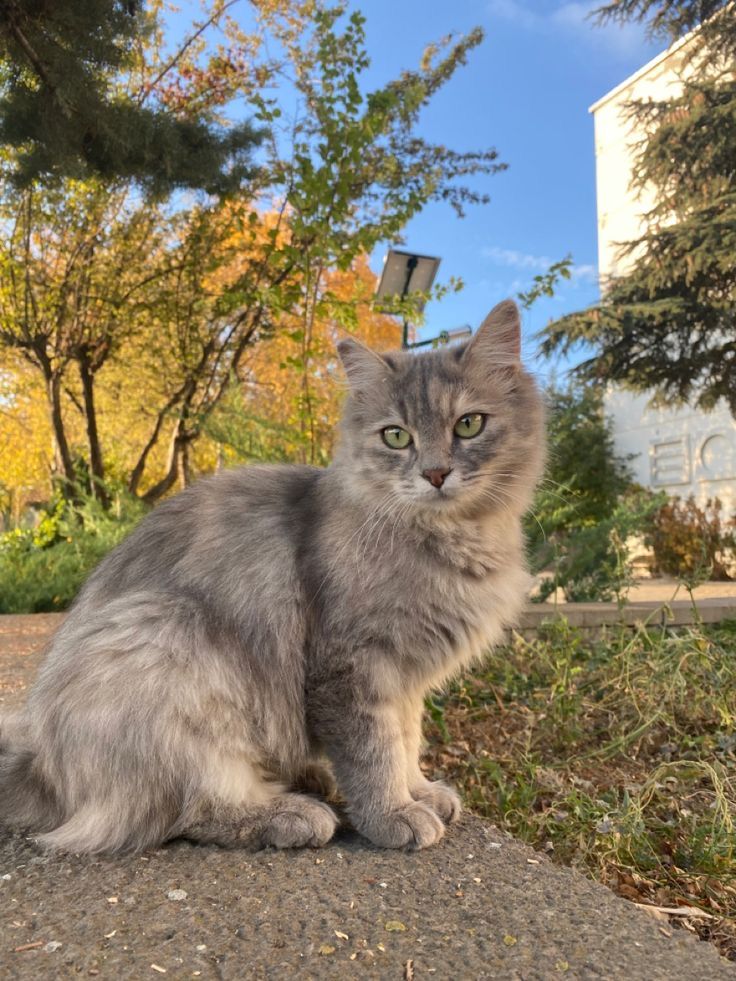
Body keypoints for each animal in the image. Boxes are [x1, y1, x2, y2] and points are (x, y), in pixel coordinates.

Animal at [1, 298, 548, 848]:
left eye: (469, 425)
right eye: (397, 437)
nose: (435, 473)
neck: (452, 540)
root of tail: (40, 767)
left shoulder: (407, 678)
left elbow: (407, 738)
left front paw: (419, 790)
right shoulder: (352, 665)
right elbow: (376, 750)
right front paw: (393, 811)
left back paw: (312, 778)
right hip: (166, 642)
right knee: (191, 808)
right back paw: (291, 813)